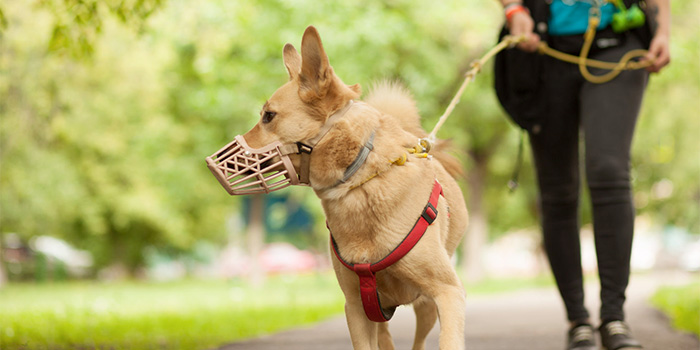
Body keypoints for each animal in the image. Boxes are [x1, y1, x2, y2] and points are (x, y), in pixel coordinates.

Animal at [217, 25, 470, 350]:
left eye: (268, 116)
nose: (215, 163)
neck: (359, 182)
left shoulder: (448, 293)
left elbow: (448, 338)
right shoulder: (357, 308)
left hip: (425, 306)